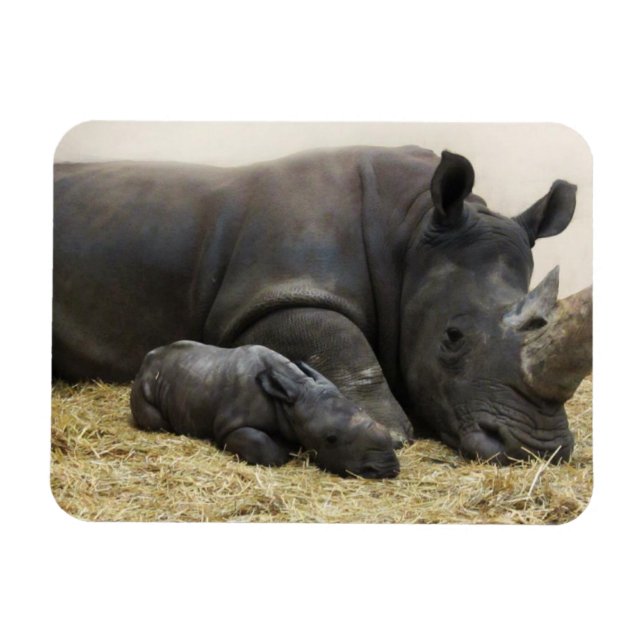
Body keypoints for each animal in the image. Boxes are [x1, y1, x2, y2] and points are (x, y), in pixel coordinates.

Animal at [53, 145, 592, 464]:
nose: (537, 449)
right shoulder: (269, 296)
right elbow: (338, 338)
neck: (411, 231)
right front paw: (389, 429)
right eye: (452, 338)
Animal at [130, 340, 399, 478]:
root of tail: (145, 361)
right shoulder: (230, 427)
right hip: (144, 383)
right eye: (330, 439)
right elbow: (265, 449)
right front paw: (285, 449)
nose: (388, 469)